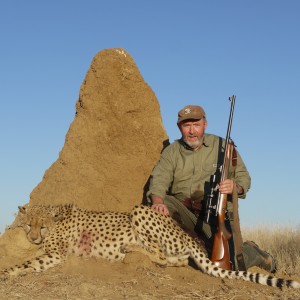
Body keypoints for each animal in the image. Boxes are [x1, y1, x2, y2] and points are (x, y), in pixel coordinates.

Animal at [0, 204, 300, 288]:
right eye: (28, 225)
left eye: (41, 226)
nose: (34, 237)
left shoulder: (56, 255)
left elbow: (28, 262)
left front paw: (6, 273)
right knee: (176, 259)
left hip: (139, 211)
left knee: (160, 255)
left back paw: (129, 251)